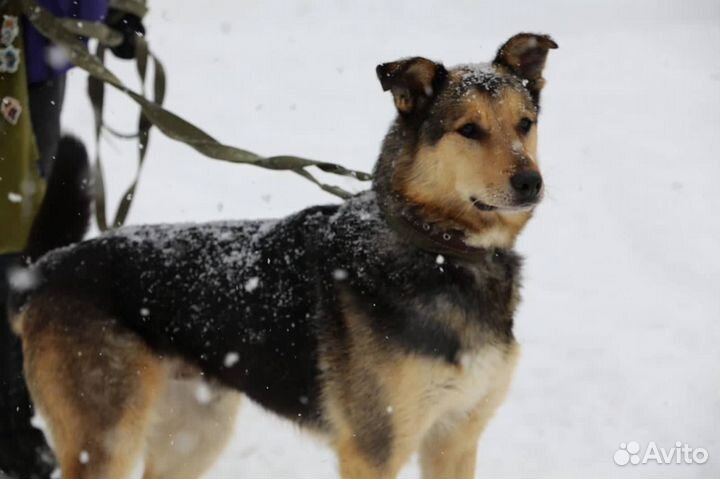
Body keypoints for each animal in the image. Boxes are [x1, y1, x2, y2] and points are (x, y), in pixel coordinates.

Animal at [7, 31, 556, 478]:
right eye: (469, 130)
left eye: (525, 124)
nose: (531, 183)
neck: (438, 245)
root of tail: (50, 268)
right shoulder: (374, 449)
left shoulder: (455, 438)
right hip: (107, 440)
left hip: (195, 432)